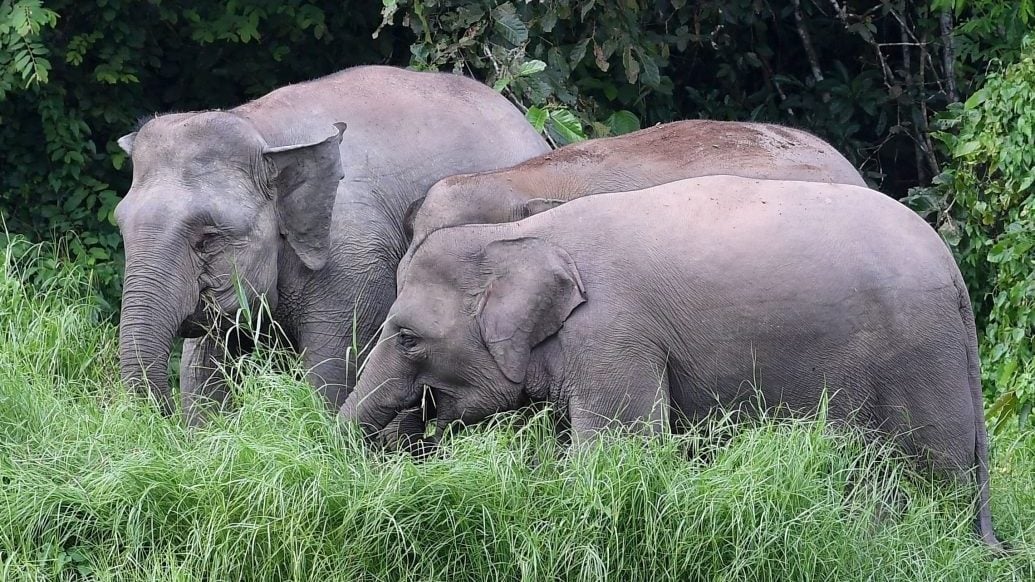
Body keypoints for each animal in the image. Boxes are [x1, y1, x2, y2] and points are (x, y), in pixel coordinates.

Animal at [115, 65, 549, 424]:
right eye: (121, 226)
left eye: (207, 239)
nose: (163, 417)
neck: (262, 130)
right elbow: (201, 370)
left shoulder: (356, 262)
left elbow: (333, 370)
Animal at [341, 174, 1000, 550]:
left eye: (407, 338)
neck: (526, 234)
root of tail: (953, 272)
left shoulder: (613, 334)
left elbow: (615, 454)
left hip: (917, 357)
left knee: (932, 472)